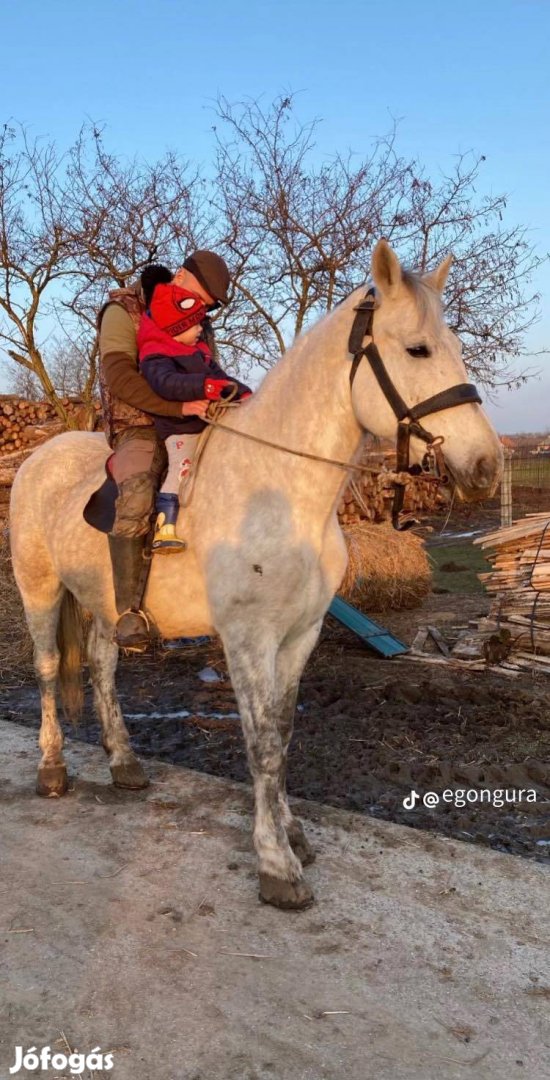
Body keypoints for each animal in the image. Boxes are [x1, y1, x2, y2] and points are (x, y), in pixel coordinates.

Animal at [9, 240, 501, 907]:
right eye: (418, 349)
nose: (486, 466)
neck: (281, 490)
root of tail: (42, 455)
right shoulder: (247, 639)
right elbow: (262, 741)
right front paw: (276, 865)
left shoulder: (300, 636)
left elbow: (283, 733)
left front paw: (291, 836)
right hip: (39, 590)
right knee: (47, 668)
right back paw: (52, 769)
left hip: (108, 606)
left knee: (103, 669)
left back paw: (124, 764)